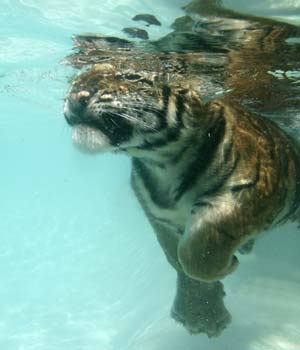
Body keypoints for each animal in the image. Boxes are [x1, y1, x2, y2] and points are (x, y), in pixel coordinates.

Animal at [63, 56, 300, 338]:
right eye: (77, 79)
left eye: (131, 77)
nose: (76, 95)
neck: (164, 164)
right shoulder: (158, 216)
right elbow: (175, 258)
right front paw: (201, 313)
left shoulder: (248, 193)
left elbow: (196, 254)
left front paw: (225, 268)